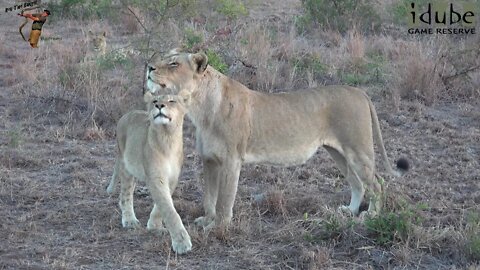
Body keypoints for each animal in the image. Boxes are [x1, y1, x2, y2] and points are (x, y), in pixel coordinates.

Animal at [108, 92, 192, 254]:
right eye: (155, 101)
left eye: (171, 100)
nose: (159, 105)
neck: (168, 137)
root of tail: (126, 115)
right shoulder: (155, 177)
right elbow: (169, 210)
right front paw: (182, 242)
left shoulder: (172, 178)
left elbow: (161, 206)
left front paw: (154, 226)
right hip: (126, 166)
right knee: (125, 195)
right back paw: (129, 220)